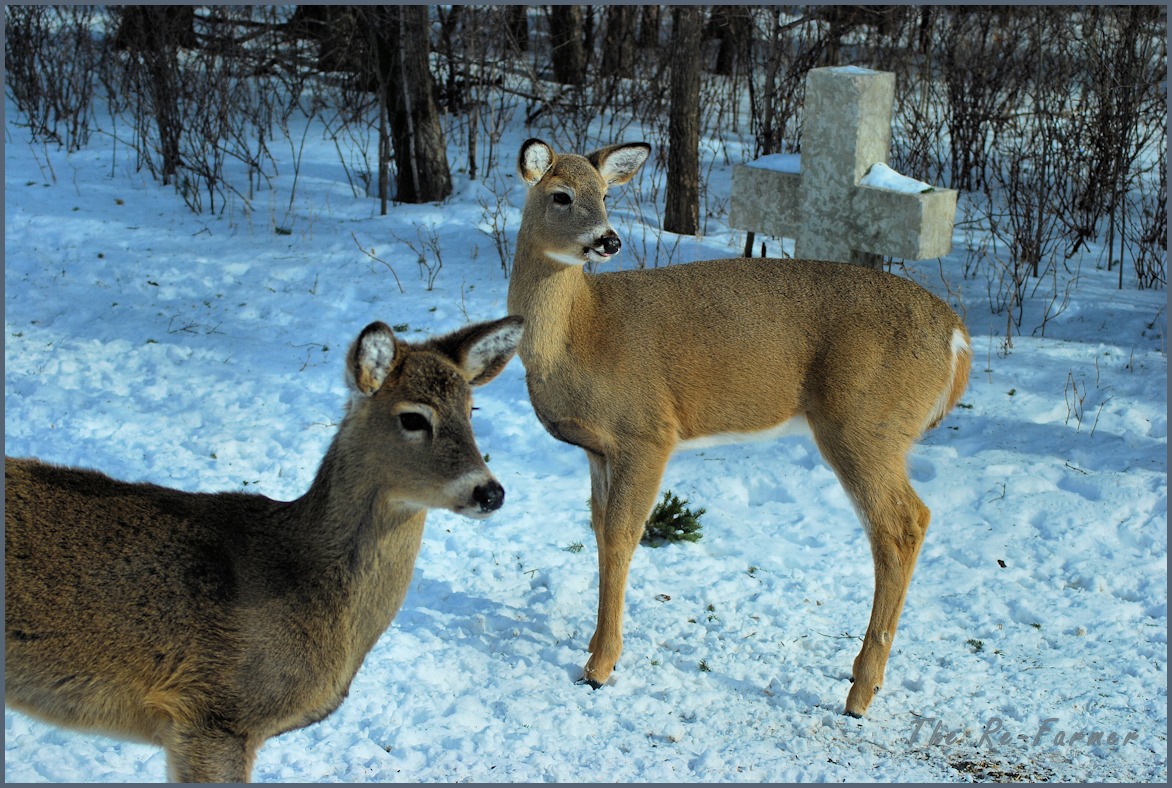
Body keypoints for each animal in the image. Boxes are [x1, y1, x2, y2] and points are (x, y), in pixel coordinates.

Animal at [507, 139, 971, 719]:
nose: (609, 240)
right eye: (562, 195)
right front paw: (593, 645)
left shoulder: (647, 431)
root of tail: (958, 337)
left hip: (865, 424)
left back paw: (860, 694)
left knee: (902, 525)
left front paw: (599, 666)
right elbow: (597, 529)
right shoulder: (596, 449)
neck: (579, 334)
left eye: (605, 195)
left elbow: (622, 535)